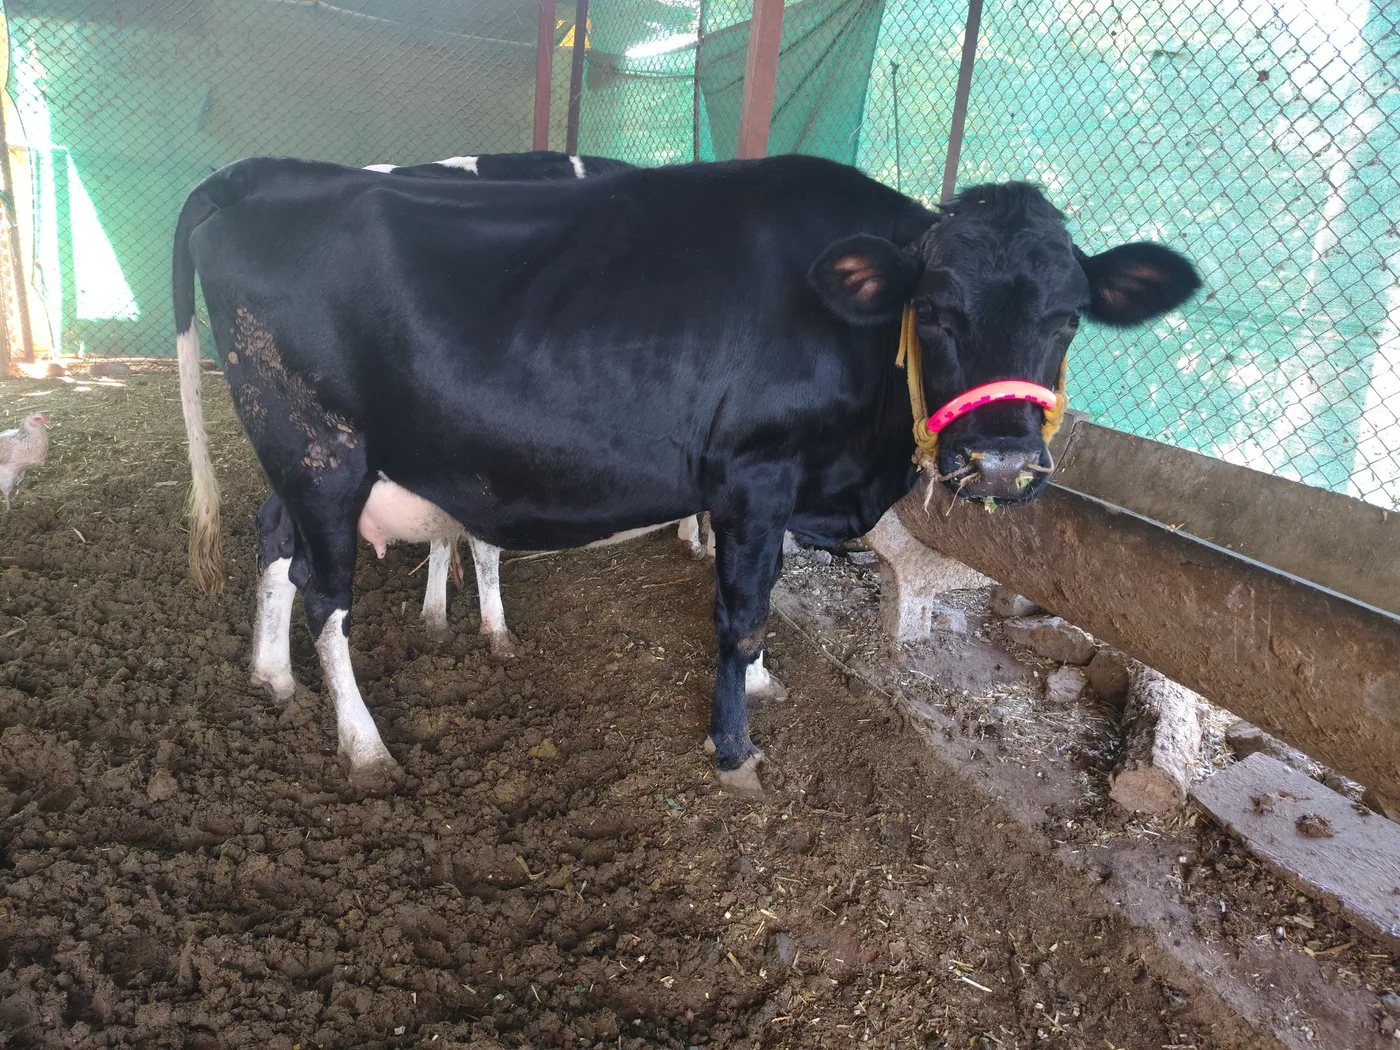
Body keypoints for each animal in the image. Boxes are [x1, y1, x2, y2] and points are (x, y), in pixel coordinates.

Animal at [173, 154, 1199, 796]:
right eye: (937, 310)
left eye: (1068, 318)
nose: (1003, 461)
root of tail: (259, 172)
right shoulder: (756, 472)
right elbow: (741, 611)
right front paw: (735, 746)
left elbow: (765, 601)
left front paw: (763, 684)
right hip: (321, 449)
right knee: (327, 596)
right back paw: (363, 745)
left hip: (306, 460)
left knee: (274, 543)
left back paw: (270, 677)